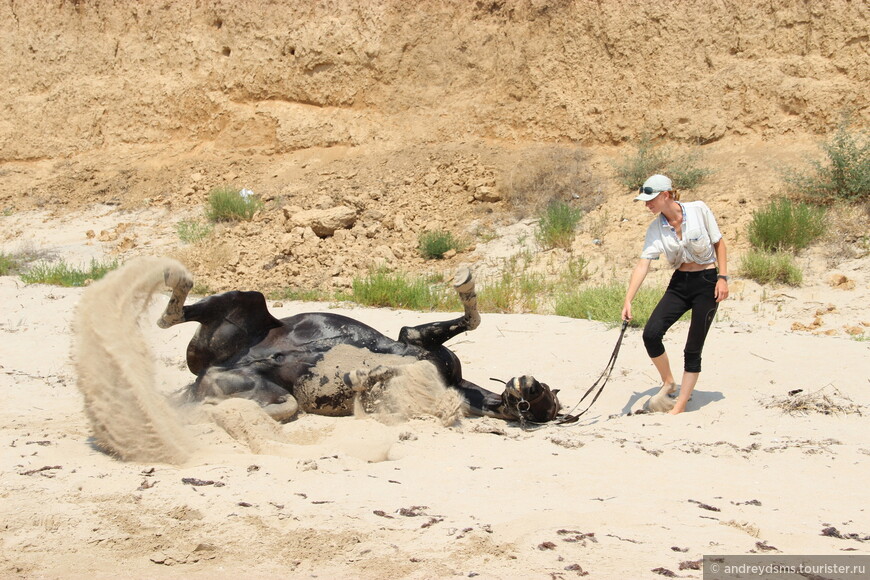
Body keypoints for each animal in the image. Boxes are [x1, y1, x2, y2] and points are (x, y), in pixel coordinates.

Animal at [158, 266, 564, 424]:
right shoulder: (414, 336)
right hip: (245, 304)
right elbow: (471, 318)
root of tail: (201, 379)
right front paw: (465, 285)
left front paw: (364, 376)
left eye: (540, 398)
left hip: (260, 391)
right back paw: (174, 282)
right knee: (174, 316)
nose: (527, 382)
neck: (458, 386)